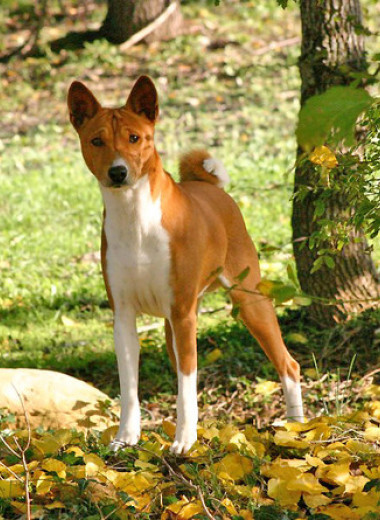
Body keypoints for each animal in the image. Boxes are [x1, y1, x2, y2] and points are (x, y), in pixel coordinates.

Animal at [66, 75, 302, 452]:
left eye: (135, 138)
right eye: (96, 140)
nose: (118, 172)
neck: (136, 221)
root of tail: (210, 188)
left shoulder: (182, 314)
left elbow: (186, 388)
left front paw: (184, 441)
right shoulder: (124, 315)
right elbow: (129, 388)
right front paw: (126, 437)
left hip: (248, 301)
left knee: (288, 365)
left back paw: (296, 425)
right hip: (171, 326)